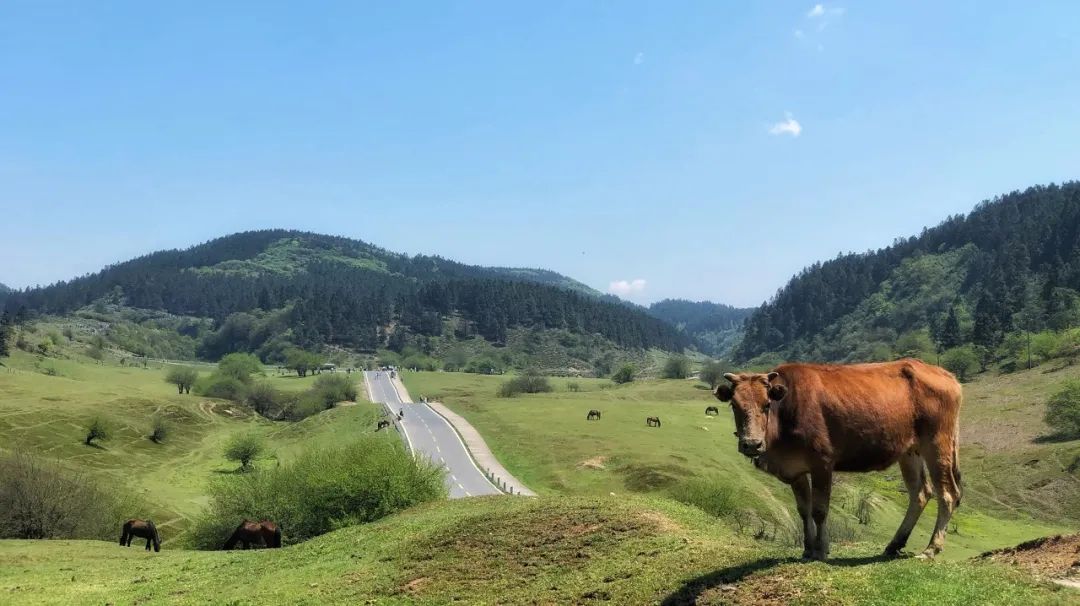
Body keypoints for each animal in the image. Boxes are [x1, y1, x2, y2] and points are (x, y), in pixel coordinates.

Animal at [717, 356, 963, 561]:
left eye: (766, 404)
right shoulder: (795, 470)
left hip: (937, 443)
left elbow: (819, 510)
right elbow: (803, 510)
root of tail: (943, 373)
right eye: (734, 405)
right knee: (920, 493)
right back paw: (894, 544)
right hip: (910, 451)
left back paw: (931, 548)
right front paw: (807, 549)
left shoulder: (823, 463)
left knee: (948, 494)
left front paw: (821, 550)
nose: (752, 444)